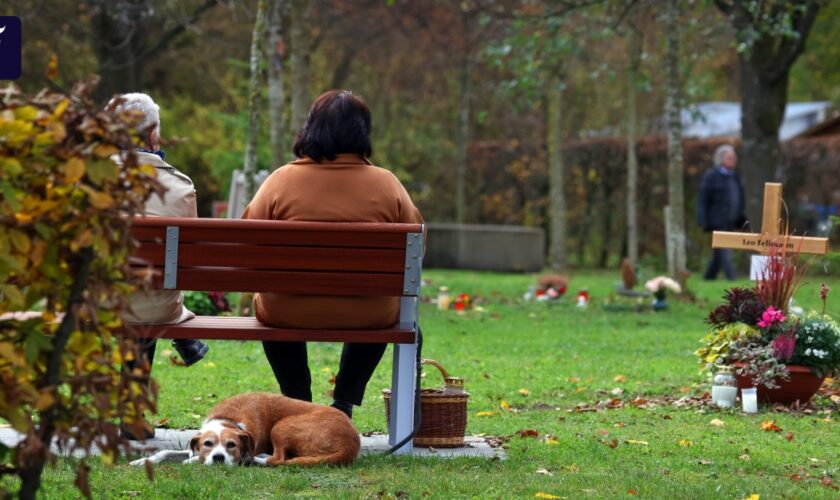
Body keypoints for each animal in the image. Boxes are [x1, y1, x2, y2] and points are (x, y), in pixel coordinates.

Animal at [130, 392, 360, 466]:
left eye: (232, 445)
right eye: (207, 443)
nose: (219, 458)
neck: (228, 420)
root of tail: (352, 442)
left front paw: (192, 462)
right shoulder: (192, 446)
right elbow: (165, 452)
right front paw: (142, 461)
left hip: (281, 426)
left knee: (278, 460)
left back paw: (256, 459)